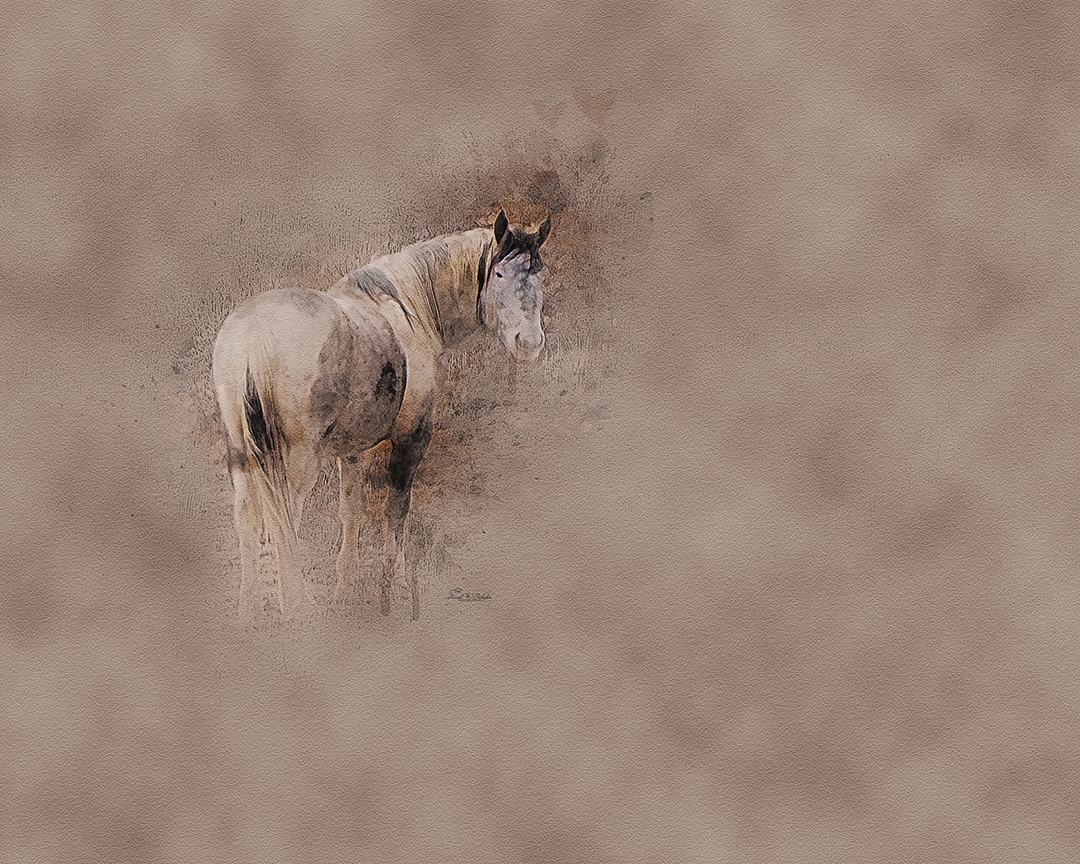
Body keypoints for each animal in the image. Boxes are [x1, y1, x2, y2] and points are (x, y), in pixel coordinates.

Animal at [212, 210, 551, 621]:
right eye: (499, 274)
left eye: (541, 274)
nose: (528, 344)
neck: (408, 311)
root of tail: (254, 334)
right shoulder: (411, 439)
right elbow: (396, 511)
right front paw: (397, 589)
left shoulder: (351, 451)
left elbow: (352, 511)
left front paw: (345, 591)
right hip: (298, 458)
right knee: (285, 518)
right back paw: (296, 607)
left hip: (241, 453)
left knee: (248, 519)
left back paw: (249, 613)